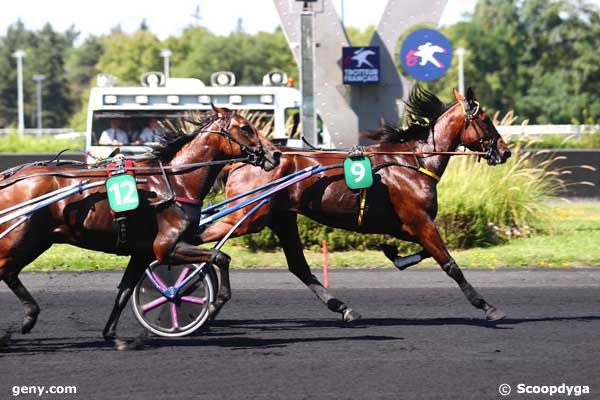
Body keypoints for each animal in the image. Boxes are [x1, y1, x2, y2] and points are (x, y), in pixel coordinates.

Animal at [0, 106, 280, 346]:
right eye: (245, 128)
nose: (275, 154)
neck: (176, 183)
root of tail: (10, 178)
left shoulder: (142, 252)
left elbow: (124, 292)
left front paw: (112, 335)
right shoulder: (166, 247)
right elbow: (221, 257)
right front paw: (212, 304)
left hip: (38, 240)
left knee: (9, 272)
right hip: (21, 237)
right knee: (6, 270)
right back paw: (28, 318)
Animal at [198, 86, 510, 322]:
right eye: (485, 119)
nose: (505, 152)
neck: (413, 161)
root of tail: (241, 161)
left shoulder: (405, 225)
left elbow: (420, 253)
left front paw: (394, 254)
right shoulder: (420, 220)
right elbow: (449, 263)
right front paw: (487, 306)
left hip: (281, 218)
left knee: (299, 267)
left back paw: (344, 309)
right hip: (248, 217)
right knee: (202, 236)